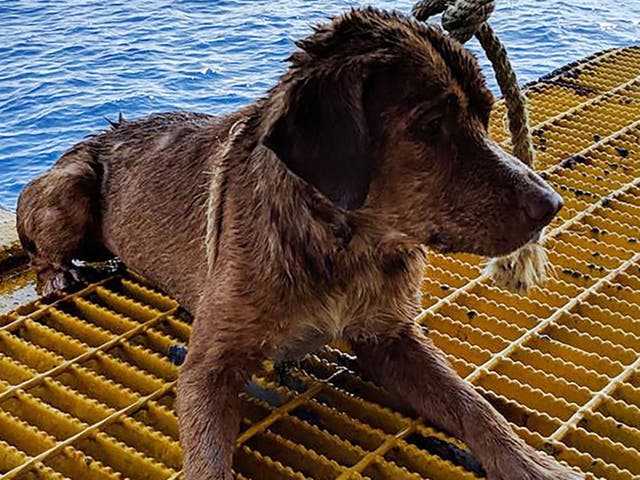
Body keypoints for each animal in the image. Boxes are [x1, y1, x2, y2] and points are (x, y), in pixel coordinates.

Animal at [15, 7, 580, 480]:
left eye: (485, 114)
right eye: (430, 125)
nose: (550, 205)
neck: (342, 246)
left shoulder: (389, 337)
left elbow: (471, 403)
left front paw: (530, 463)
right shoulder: (207, 368)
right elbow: (208, 459)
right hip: (71, 188)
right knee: (41, 249)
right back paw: (58, 274)